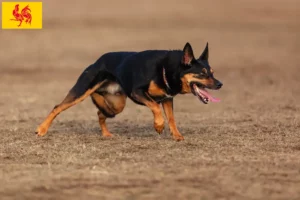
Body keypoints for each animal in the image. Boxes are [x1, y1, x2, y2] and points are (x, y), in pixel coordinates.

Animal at [35, 42, 223, 141]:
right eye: (202, 73)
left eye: (212, 72)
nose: (220, 84)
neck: (166, 70)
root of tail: (97, 62)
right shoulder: (137, 92)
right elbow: (155, 108)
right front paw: (158, 126)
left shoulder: (167, 99)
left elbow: (171, 118)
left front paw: (177, 136)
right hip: (82, 91)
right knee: (57, 107)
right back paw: (41, 129)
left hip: (117, 104)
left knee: (100, 113)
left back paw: (106, 133)